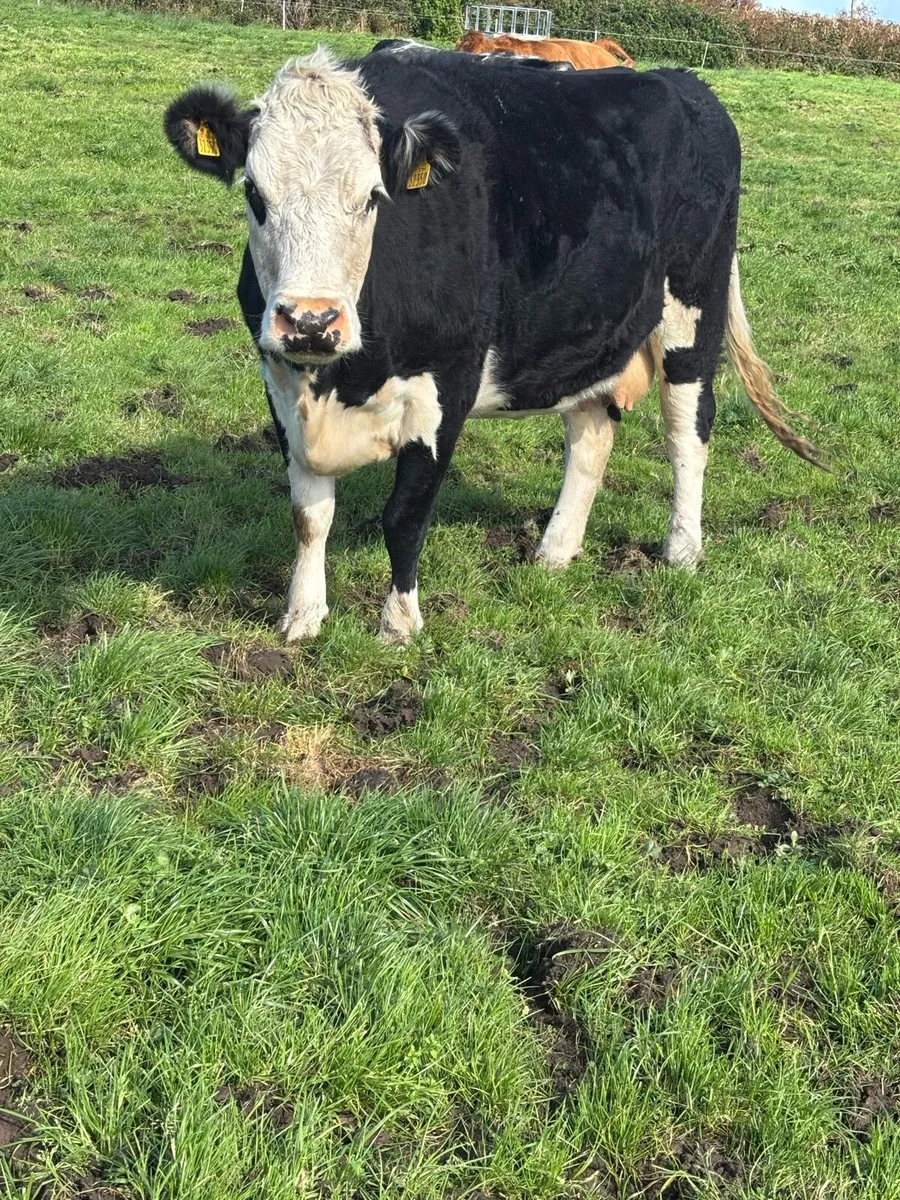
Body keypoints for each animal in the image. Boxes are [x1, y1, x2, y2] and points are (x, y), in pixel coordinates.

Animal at [164, 45, 822, 644]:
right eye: (255, 194)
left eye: (373, 197)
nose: (310, 320)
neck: (338, 382)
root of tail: (686, 83)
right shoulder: (281, 382)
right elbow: (308, 516)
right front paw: (302, 618)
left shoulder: (448, 384)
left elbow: (405, 515)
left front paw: (398, 624)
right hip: (585, 331)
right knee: (591, 435)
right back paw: (554, 551)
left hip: (694, 306)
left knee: (688, 430)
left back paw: (682, 550)